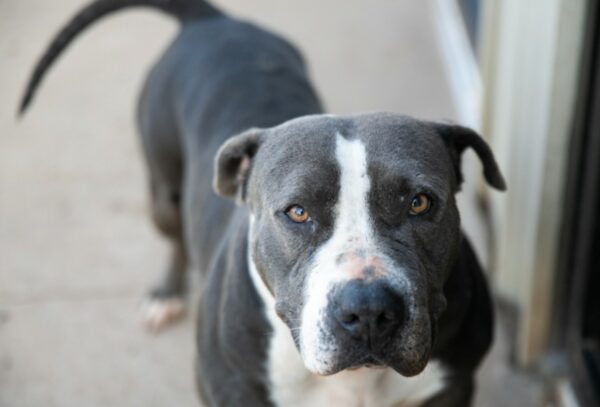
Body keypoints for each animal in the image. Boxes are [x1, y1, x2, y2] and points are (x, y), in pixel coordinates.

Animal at [19, 1, 506, 406]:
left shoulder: (453, 386)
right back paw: (165, 295)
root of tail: (212, 20)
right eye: (298, 212)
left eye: (420, 203)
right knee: (174, 234)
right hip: (162, 189)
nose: (368, 309)